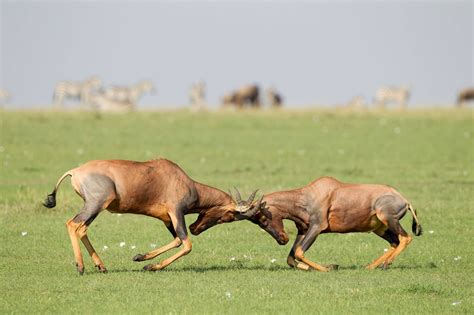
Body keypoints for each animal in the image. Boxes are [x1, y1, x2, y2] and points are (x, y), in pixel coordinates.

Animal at [43, 159, 262, 276]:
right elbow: (186, 244)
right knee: (75, 225)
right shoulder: (176, 212)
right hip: (96, 204)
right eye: (231, 215)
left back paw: (101, 266)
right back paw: (81, 267)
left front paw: (141, 258)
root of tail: (75, 171)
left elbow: (176, 240)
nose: (195, 228)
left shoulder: (167, 219)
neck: (181, 179)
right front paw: (150, 266)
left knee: (81, 228)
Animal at [244, 177, 422, 272]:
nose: (282, 240)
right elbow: (291, 257)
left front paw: (330, 267)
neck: (310, 195)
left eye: (262, 219)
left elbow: (299, 252)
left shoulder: (317, 228)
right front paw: (323, 266)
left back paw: (386, 264)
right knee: (394, 242)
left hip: (387, 218)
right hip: (379, 228)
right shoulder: (303, 230)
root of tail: (404, 200)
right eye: (258, 222)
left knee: (405, 238)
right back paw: (372, 266)